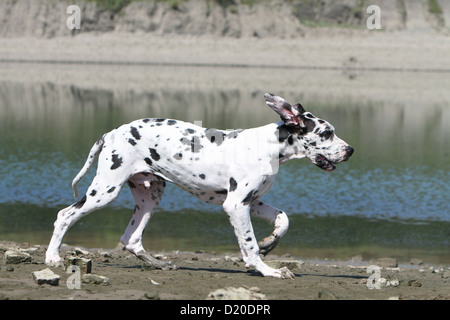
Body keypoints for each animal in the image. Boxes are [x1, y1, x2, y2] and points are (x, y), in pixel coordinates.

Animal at [45, 92, 356, 278]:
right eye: (326, 133)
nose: (351, 150)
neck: (268, 146)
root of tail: (112, 132)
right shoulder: (235, 205)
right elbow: (249, 244)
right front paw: (267, 269)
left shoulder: (252, 202)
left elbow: (284, 219)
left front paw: (269, 243)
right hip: (104, 192)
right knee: (64, 215)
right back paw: (52, 258)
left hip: (150, 197)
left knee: (131, 238)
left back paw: (158, 264)